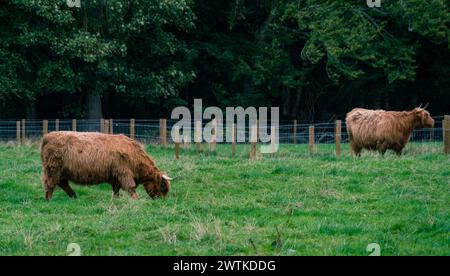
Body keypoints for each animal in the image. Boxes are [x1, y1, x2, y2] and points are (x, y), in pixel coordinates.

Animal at [39, 132, 173, 201]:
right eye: (163, 186)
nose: (162, 200)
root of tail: (47, 136)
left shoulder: (116, 176)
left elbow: (116, 189)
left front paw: (116, 200)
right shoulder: (124, 172)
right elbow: (130, 187)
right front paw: (136, 199)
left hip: (61, 171)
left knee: (62, 183)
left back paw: (74, 196)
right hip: (53, 168)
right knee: (50, 184)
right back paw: (49, 199)